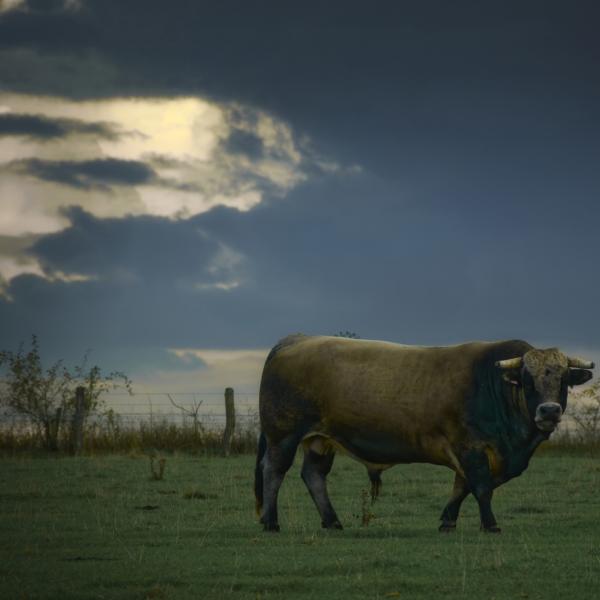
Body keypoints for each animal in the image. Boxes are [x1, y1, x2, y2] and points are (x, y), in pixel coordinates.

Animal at [254, 336, 596, 532]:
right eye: (527, 380)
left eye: (564, 379)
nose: (549, 411)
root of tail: (295, 340)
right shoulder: (470, 447)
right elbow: (481, 487)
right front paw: (490, 525)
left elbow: (462, 488)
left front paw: (447, 520)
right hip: (283, 435)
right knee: (274, 471)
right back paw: (271, 522)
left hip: (321, 440)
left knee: (313, 475)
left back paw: (332, 521)